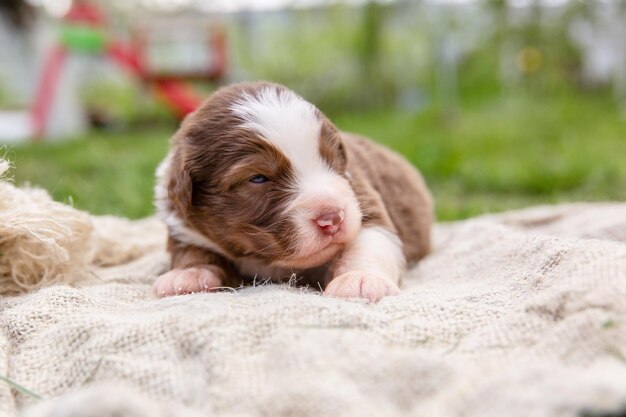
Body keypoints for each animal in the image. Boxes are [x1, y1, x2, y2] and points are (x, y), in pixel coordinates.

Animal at [154, 81, 432, 300]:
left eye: (332, 159)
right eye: (258, 178)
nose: (332, 219)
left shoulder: (363, 200)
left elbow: (370, 241)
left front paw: (360, 280)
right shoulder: (183, 226)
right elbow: (192, 251)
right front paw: (188, 274)